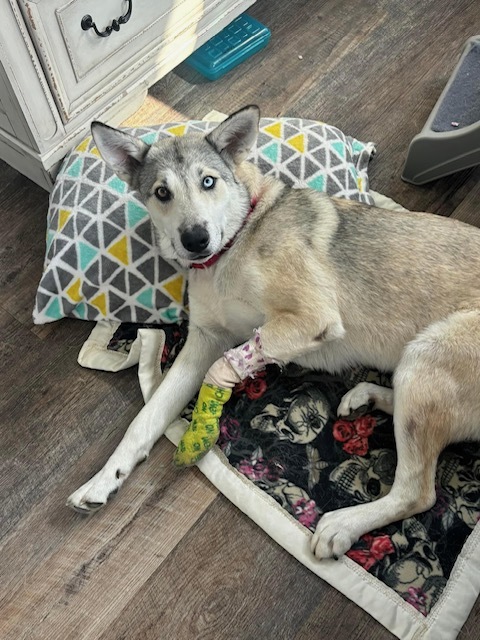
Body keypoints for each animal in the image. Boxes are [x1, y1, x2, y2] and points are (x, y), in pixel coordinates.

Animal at [66, 106, 480, 560]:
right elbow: (146, 418)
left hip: (428, 353)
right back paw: (366, 396)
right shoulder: (202, 341)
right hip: (416, 369)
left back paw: (343, 525)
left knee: (417, 492)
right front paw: (104, 480)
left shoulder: (312, 317)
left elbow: (229, 362)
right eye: (161, 192)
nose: (196, 239)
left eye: (208, 181)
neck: (234, 242)